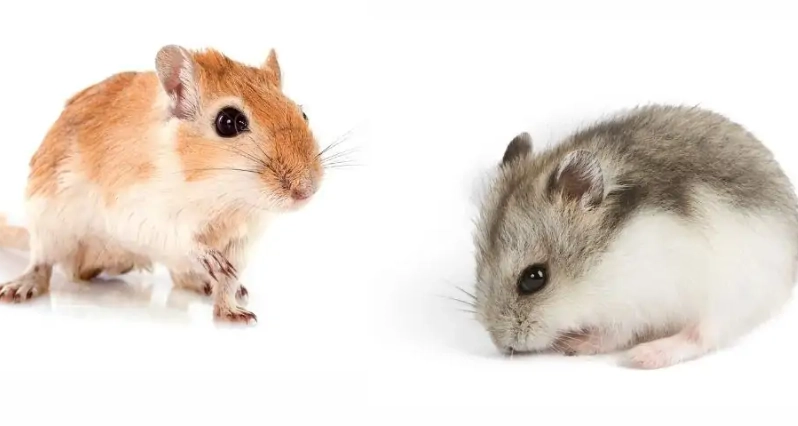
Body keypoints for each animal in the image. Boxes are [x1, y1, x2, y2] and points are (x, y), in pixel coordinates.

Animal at [0, 45, 324, 324]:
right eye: (228, 122)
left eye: (303, 113)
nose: (306, 191)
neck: (224, 198)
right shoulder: (141, 212)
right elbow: (184, 240)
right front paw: (212, 261)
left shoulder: (241, 241)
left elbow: (228, 280)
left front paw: (233, 312)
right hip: (47, 224)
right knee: (41, 262)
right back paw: (19, 287)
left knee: (179, 277)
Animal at [472, 105, 798, 369]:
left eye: (534, 278)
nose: (502, 346)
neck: (605, 261)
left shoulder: (635, 304)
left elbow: (614, 333)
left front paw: (575, 345)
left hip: (729, 296)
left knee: (701, 335)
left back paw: (645, 356)